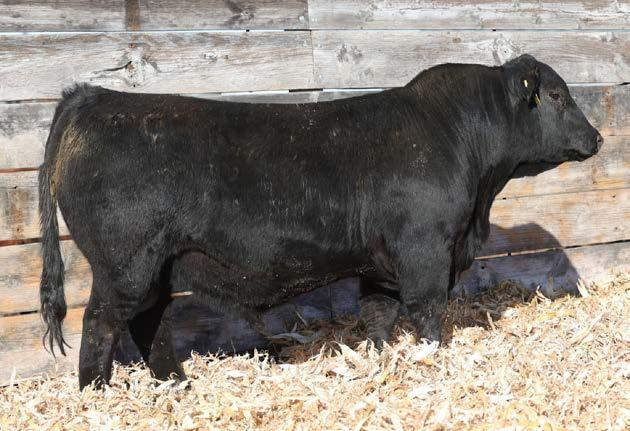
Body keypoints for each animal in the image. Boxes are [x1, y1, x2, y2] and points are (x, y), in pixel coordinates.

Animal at [38, 54, 602, 389]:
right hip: (125, 262)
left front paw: (380, 361)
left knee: (147, 321)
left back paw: (175, 382)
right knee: (100, 323)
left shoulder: (382, 264)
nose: (597, 138)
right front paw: (433, 362)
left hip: (154, 265)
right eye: (557, 95)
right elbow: (427, 313)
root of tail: (93, 97)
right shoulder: (425, 249)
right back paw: (99, 395)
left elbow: (378, 315)